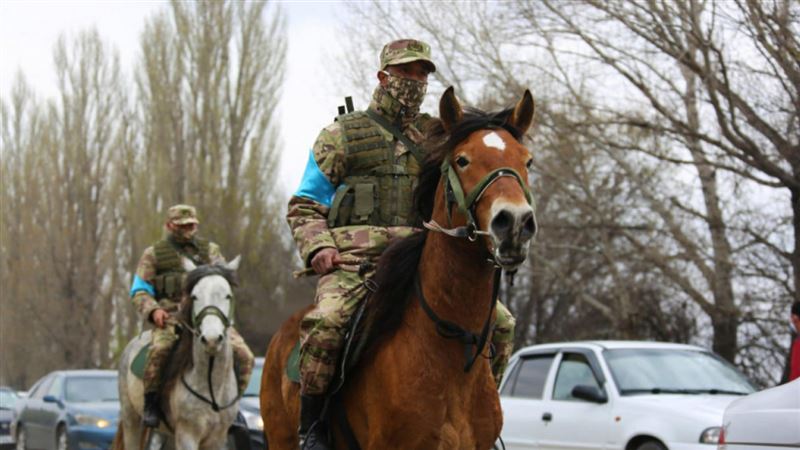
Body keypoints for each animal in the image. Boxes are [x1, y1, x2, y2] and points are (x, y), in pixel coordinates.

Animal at [115, 256, 241, 450]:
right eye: (195, 296)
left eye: (228, 295)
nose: (211, 339)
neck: (212, 385)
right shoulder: (187, 435)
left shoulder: (218, 439)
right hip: (132, 421)